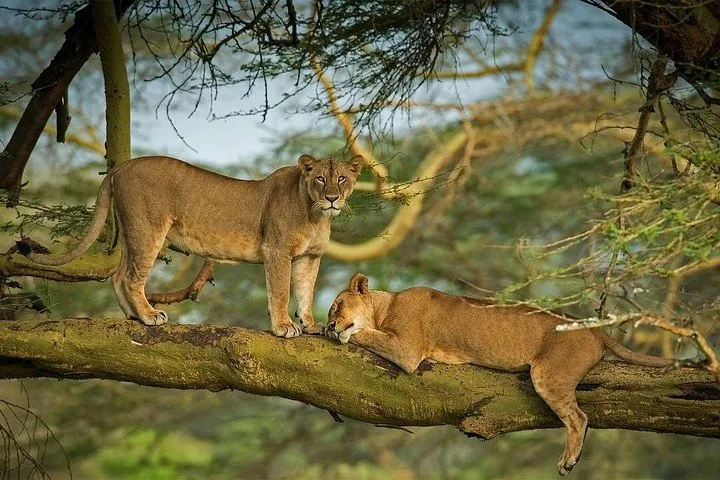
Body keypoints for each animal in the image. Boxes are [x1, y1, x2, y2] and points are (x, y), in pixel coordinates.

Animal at [25, 154, 363, 337]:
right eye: (320, 178)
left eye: (341, 178)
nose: (332, 198)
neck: (315, 214)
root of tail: (119, 168)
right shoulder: (277, 250)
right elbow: (280, 292)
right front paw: (284, 326)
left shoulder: (310, 257)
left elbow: (305, 292)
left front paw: (310, 324)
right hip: (148, 230)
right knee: (132, 278)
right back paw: (149, 316)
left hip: (134, 233)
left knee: (119, 275)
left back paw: (134, 317)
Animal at [326, 272, 673, 476]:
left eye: (337, 306)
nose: (329, 325)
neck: (387, 305)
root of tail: (595, 329)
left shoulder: (407, 351)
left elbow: (364, 334)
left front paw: (337, 332)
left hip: (549, 373)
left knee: (579, 418)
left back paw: (568, 461)